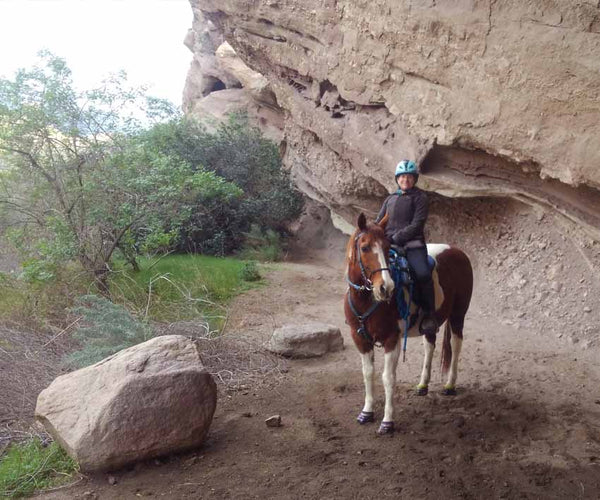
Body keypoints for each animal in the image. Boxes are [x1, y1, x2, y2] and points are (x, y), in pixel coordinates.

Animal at [344, 211, 472, 434]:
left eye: (388, 247)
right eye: (365, 247)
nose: (386, 287)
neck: (366, 300)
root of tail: (457, 251)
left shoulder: (391, 339)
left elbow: (388, 377)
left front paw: (387, 421)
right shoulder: (360, 339)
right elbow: (368, 373)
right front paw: (366, 412)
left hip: (458, 315)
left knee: (456, 345)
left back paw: (450, 385)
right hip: (432, 321)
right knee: (430, 344)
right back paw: (423, 385)